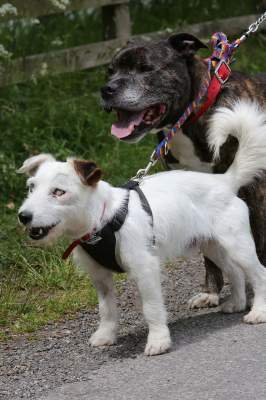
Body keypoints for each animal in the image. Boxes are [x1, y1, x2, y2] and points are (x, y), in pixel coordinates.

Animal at [18, 101, 266, 356]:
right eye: (31, 187)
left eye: (59, 192)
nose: (24, 216)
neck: (103, 218)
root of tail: (224, 181)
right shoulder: (100, 277)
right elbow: (106, 310)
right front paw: (106, 335)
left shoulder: (145, 269)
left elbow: (152, 308)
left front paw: (158, 340)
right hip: (212, 246)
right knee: (235, 271)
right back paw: (237, 303)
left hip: (238, 246)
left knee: (259, 274)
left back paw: (258, 311)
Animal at [101, 32, 266, 310]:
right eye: (110, 71)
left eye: (145, 68)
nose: (107, 89)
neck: (193, 116)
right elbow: (210, 256)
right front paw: (211, 292)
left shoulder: (256, 189)